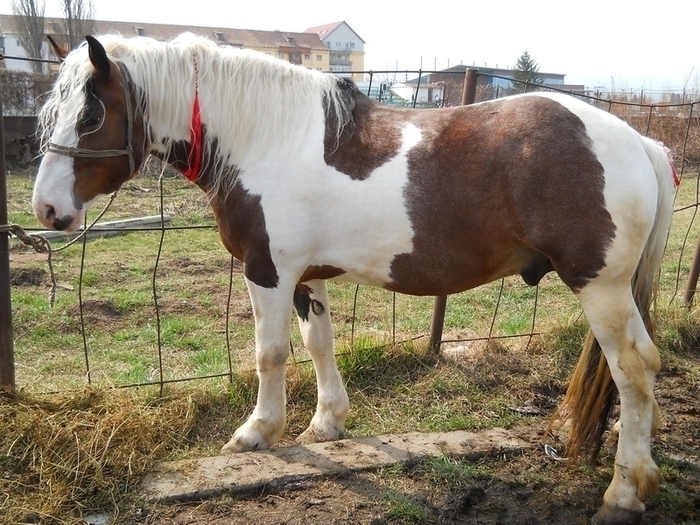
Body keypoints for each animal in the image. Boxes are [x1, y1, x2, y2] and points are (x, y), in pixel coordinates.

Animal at [34, 33, 680, 524]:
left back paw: (624, 492)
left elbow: (270, 355)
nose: (46, 210)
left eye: (90, 114)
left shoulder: (267, 272)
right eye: (51, 112)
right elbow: (318, 344)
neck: (265, 139)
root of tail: (637, 140)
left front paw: (258, 431)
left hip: (600, 287)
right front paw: (327, 422)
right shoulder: (304, 277)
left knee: (635, 369)